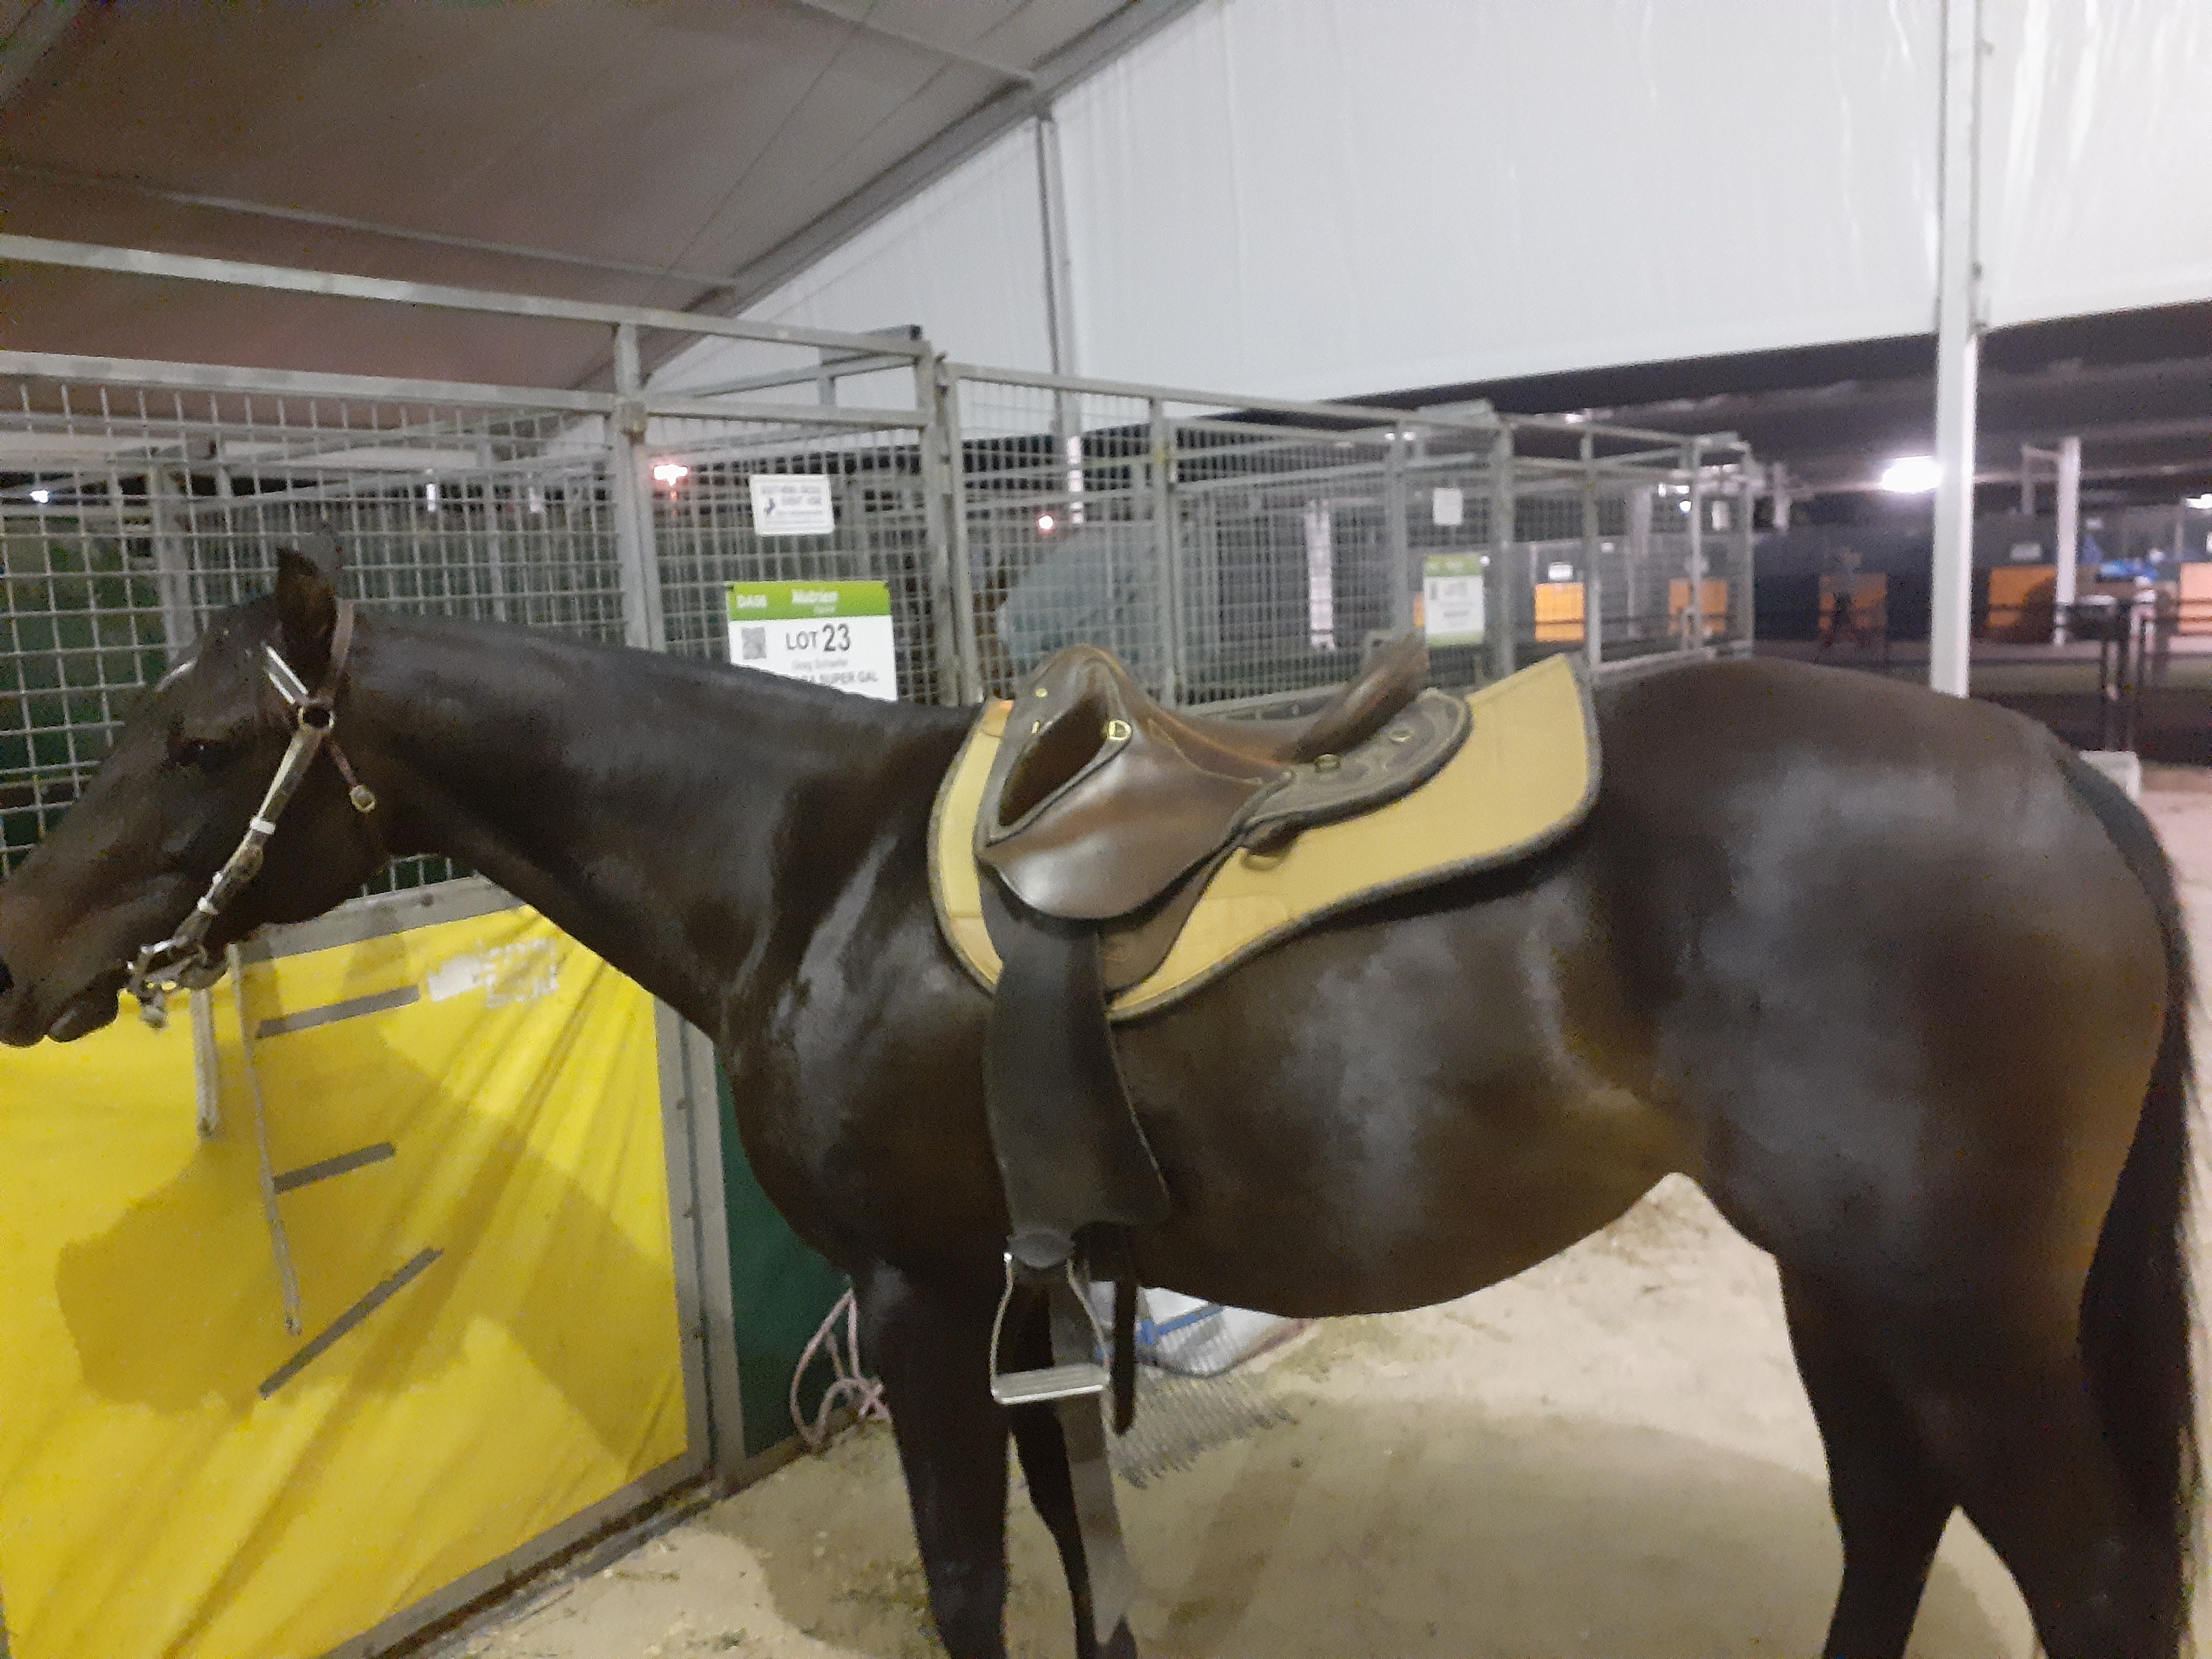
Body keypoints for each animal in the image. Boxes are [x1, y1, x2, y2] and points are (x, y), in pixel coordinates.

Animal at [0, 540, 2194, 1659]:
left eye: (201, 741)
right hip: (1845, 1285)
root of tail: (2050, 775)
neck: (805, 866)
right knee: (1889, 1512)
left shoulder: (915, 1293)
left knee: (2078, 1575)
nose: (19, 955)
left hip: (1950, 1307)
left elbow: (975, 1570)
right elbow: (1072, 1537)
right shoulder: (1023, 1289)